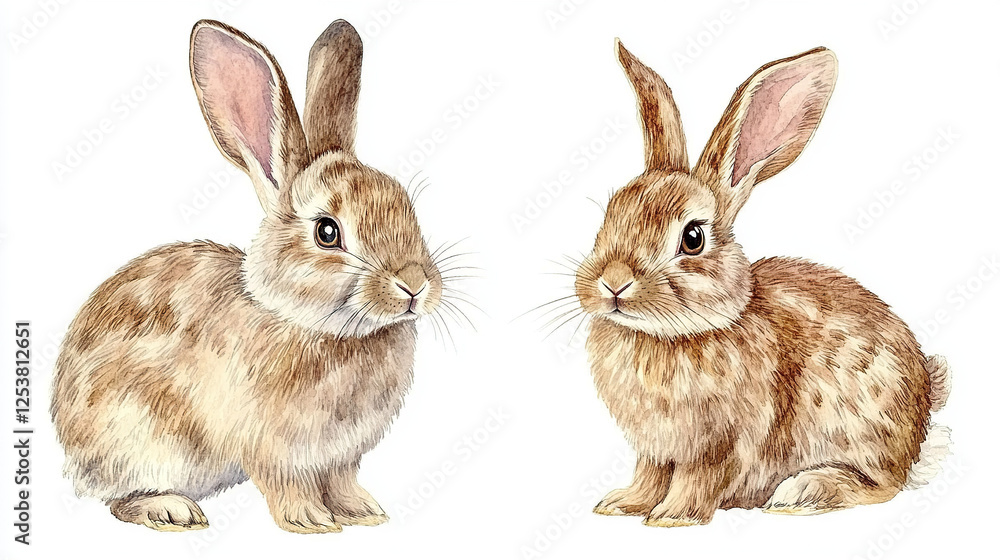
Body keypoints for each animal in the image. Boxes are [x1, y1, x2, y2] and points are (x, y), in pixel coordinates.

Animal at [50, 19, 448, 533]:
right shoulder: (270, 447)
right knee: (120, 500)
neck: (316, 325)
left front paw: (364, 511)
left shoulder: (340, 457)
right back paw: (172, 509)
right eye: (327, 232)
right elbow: (285, 485)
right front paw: (310, 521)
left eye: (406, 205)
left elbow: (342, 480)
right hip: (137, 438)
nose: (415, 284)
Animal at [575, 41, 952, 527]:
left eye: (692, 238)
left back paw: (804, 491)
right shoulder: (656, 450)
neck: (673, 335)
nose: (614, 282)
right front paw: (622, 504)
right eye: (609, 215)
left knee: (882, 485)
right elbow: (649, 475)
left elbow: (698, 478)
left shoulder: (721, 443)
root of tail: (925, 393)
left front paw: (673, 517)